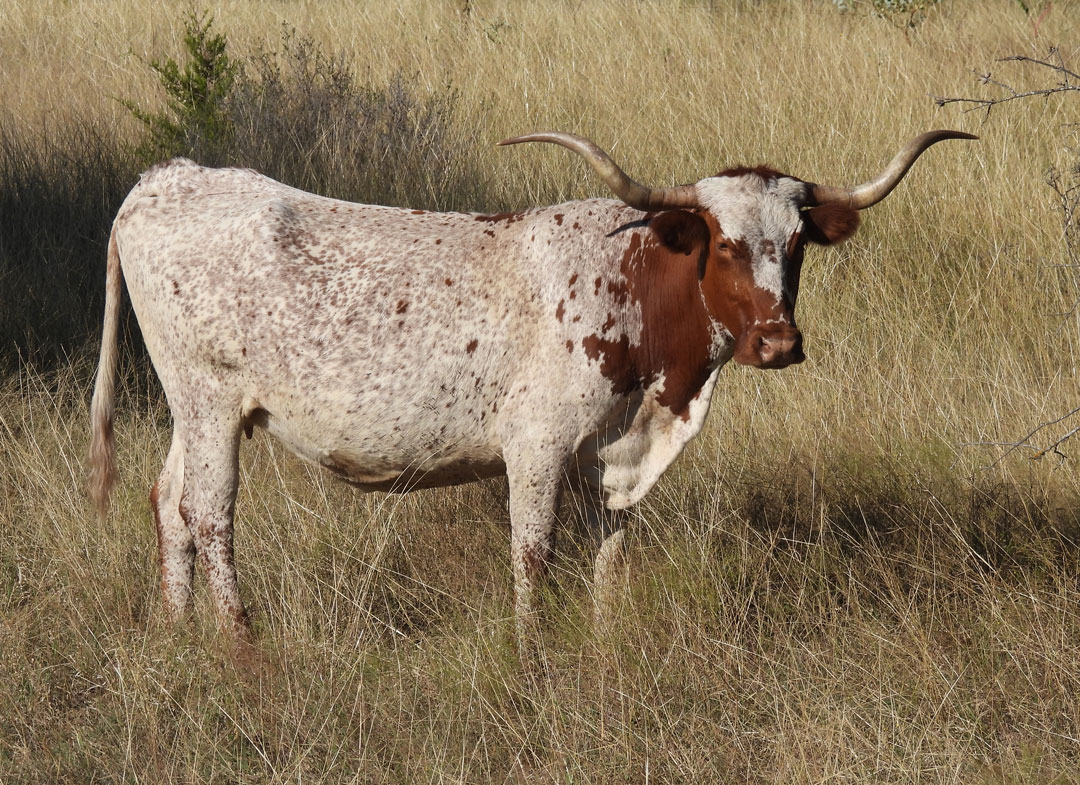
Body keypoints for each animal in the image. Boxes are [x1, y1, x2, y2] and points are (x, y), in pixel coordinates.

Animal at [88, 130, 976, 643]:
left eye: (795, 245)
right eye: (722, 244)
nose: (779, 341)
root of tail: (165, 179)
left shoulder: (612, 455)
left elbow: (613, 550)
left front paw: (606, 643)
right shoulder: (538, 447)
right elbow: (533, 553)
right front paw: (531, 651)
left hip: (194, 410)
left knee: (168, 502)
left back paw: (180, 635)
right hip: (211, 403)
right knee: (211, 515)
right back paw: (241, 647)